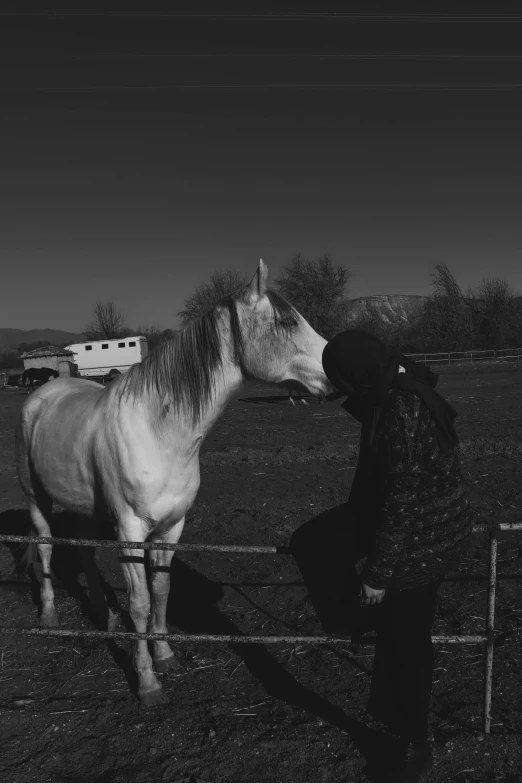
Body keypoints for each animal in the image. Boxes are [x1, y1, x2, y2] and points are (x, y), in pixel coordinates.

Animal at [18, 260, 332, 708]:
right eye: (288, 320)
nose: (335, 371)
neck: (158, 431)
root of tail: (43, 393)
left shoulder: (172, 526)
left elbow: (162, 590)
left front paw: (165, 655)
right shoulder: (130, 530)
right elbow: (140, 601)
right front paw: (148, 682)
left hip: (86, 508)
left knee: (83, 553)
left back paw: (105, 617)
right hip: (36, 499)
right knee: (44, 547)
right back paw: (48, 617)